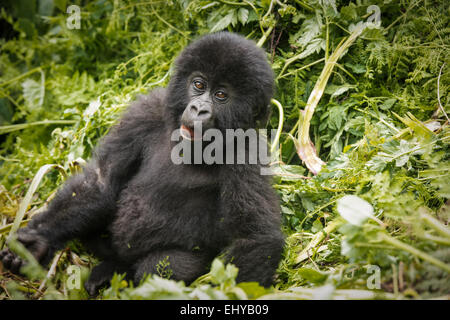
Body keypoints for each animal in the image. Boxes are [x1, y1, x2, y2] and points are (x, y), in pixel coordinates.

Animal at [0, 32, 284, 296]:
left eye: (221, 95)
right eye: (198, 84)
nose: (199, 109)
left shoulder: (247, 153)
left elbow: (255, 237)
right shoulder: (145, 112)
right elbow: (101, 182)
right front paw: (35, 242)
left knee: (164, 265)